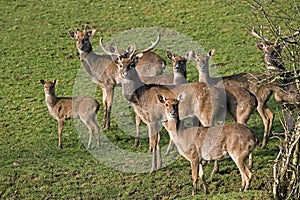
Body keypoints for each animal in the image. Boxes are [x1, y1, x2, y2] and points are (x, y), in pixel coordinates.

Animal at [100, 35, 225, 173]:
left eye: (132, 64)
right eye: (121, 64)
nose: (124, 73)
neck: (140, 97)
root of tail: (219, 93)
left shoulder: (153, 119)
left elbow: (153, 143)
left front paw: (152, 168)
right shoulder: (158, 120)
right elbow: (158, 141)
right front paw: (159, 165)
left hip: (206, 114)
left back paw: (214, 168)